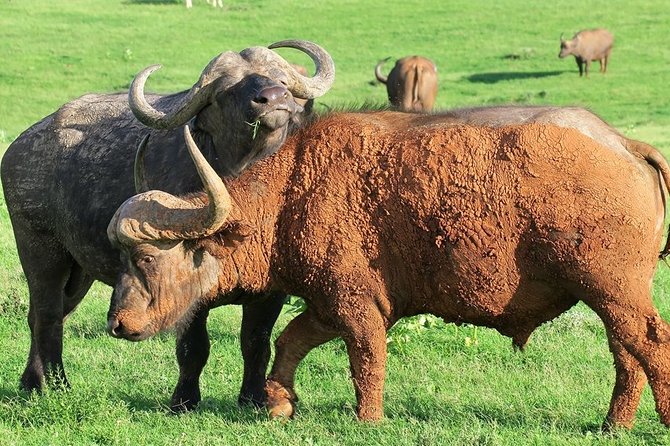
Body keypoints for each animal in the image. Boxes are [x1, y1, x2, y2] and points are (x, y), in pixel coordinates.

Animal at [0, 40, 336, 410]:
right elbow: (194, 347)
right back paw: (57, 385)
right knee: (47, 316)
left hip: (80, 271)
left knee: (48, 314)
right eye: (227, 89)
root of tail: (17, 148)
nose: (273, 97)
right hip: (41, 251)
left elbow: (255, 342)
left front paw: (253, 397)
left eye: (281, 78)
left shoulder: (271, 291)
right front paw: (184, 400)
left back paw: (31, 382)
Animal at [107, 104, 670, 428]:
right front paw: (279, 403)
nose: (117, 324)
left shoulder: (357, 307)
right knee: (627, 356)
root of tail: (627, 145)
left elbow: (365, 361)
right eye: (120, 258)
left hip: (612, 290)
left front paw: (367, 419)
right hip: (615, 297)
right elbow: (290, 341)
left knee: (651, 343)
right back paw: (613, 425)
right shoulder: (328, 303)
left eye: (144, 257)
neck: (295, 192)